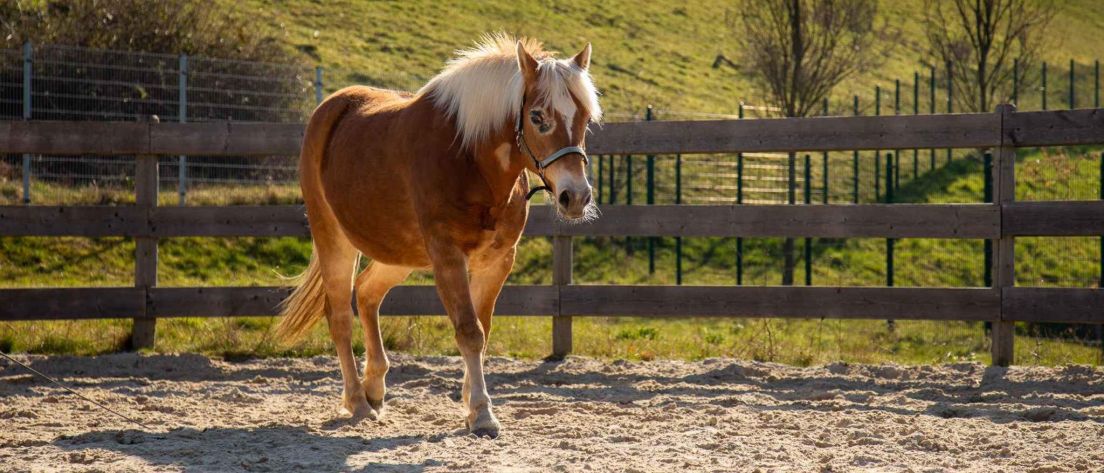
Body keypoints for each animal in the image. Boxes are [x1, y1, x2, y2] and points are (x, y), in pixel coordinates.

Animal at [275, 34, 602, 438]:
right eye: (538, 117)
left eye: (585, 118)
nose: (577, 197)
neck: (470, 159)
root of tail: (329, 110)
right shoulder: (447, 256)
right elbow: (469, 330)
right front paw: (482, 413)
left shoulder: (497, 261)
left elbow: (483, 330)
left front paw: (470, 404)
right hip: (334, 239)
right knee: (339, 316)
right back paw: (358, 402)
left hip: (399, 253)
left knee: (366, 293)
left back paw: (374, 388)